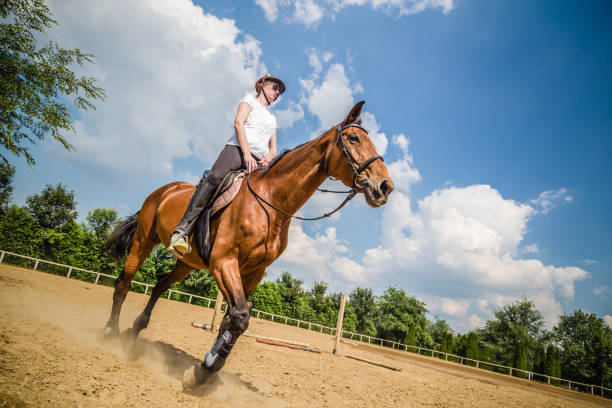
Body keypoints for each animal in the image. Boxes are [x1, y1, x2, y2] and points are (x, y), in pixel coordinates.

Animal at [103, 101, 394, 388]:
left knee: (161, 284)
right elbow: (240, 316)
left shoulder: (253, 272)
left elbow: (230, 320)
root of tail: (164, 190)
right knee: (124, 283)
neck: (270, 202)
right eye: (354, 138)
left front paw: (204, 368)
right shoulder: (224, 261)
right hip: (144, 240)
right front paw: (204, 373)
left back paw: (134, 331)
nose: (385, 186)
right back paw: (111, 332)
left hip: (187, 262)